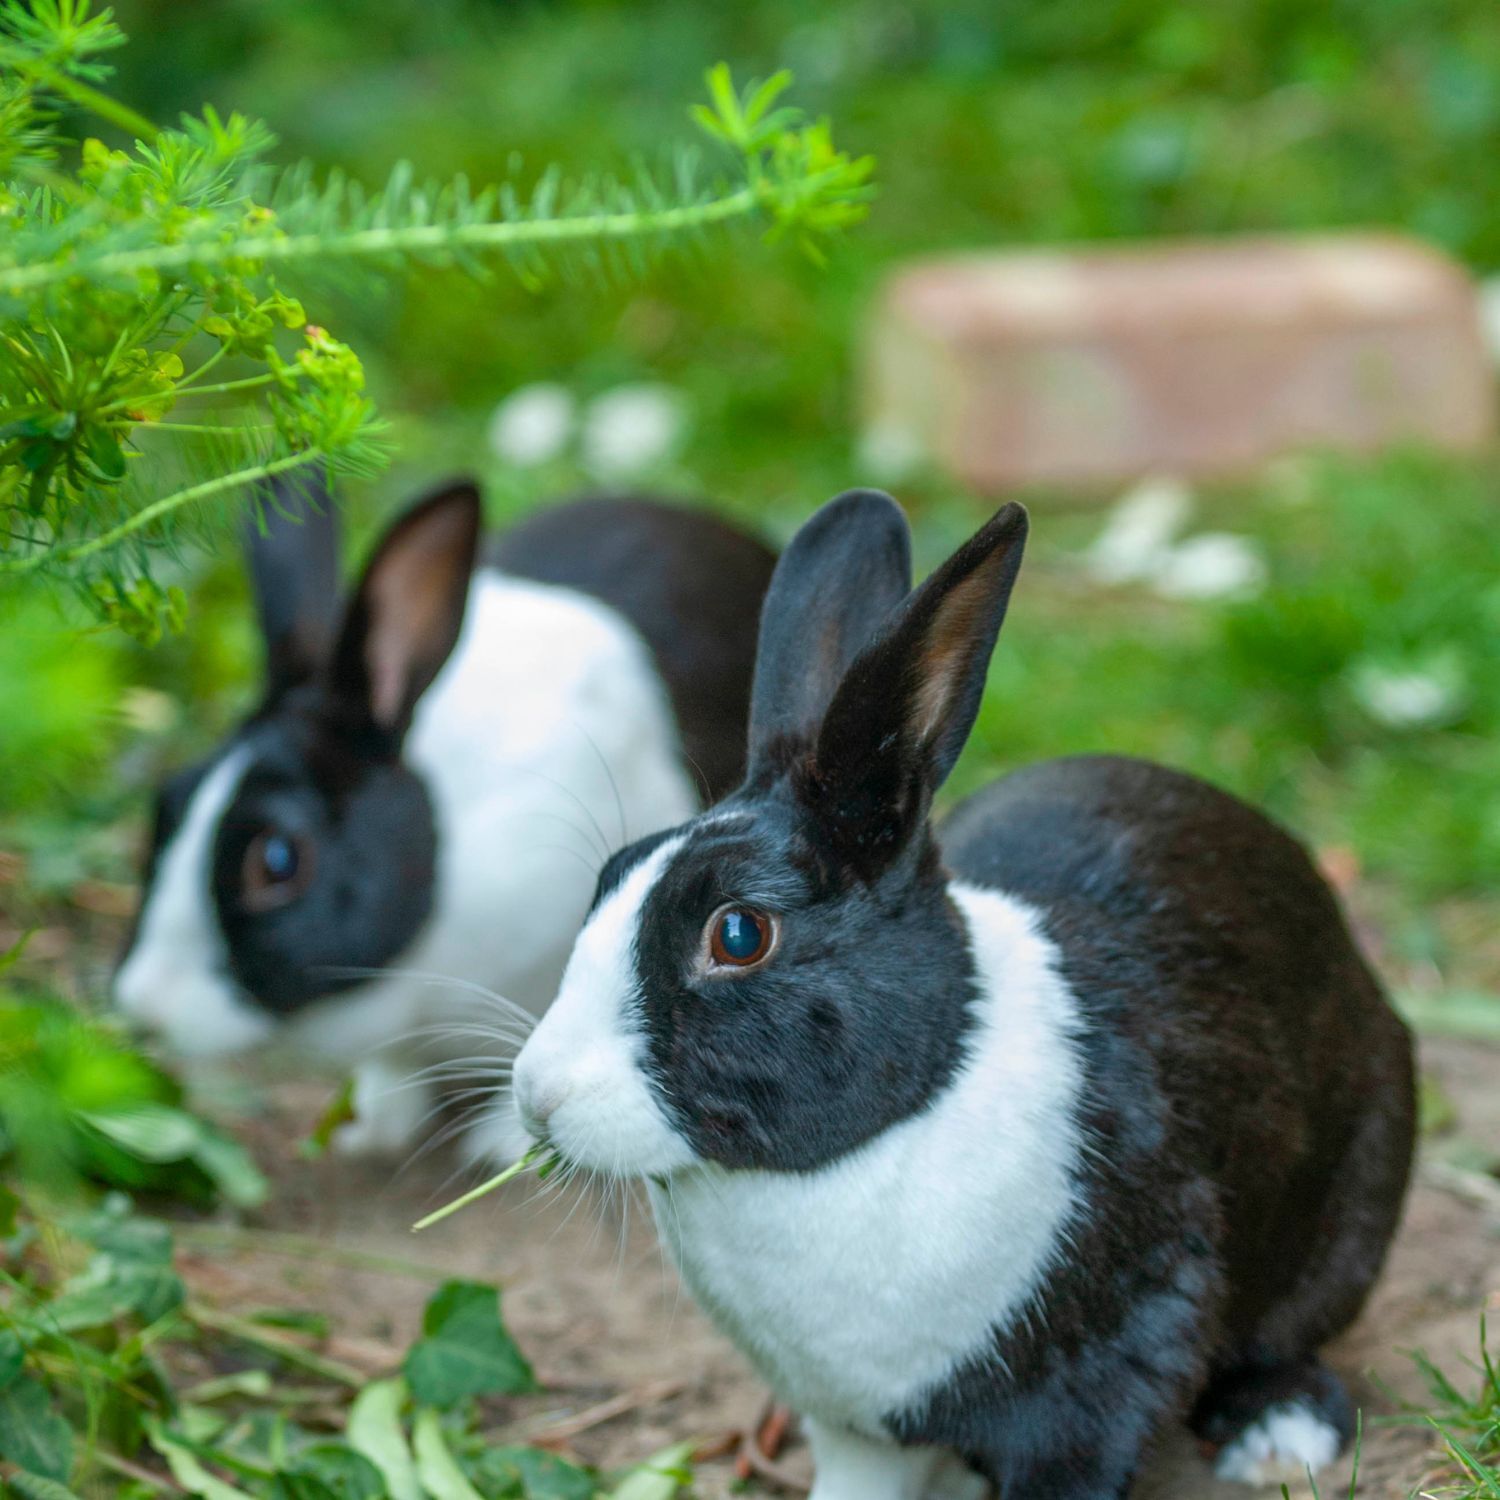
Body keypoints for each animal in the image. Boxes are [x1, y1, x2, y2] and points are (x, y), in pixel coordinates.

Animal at [510, 486, 1410, 1494]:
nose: (536, 1095)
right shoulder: (852, 1427)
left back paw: (1277, 1436)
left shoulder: (1102, 1379)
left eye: (738, 934)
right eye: (608, 876)